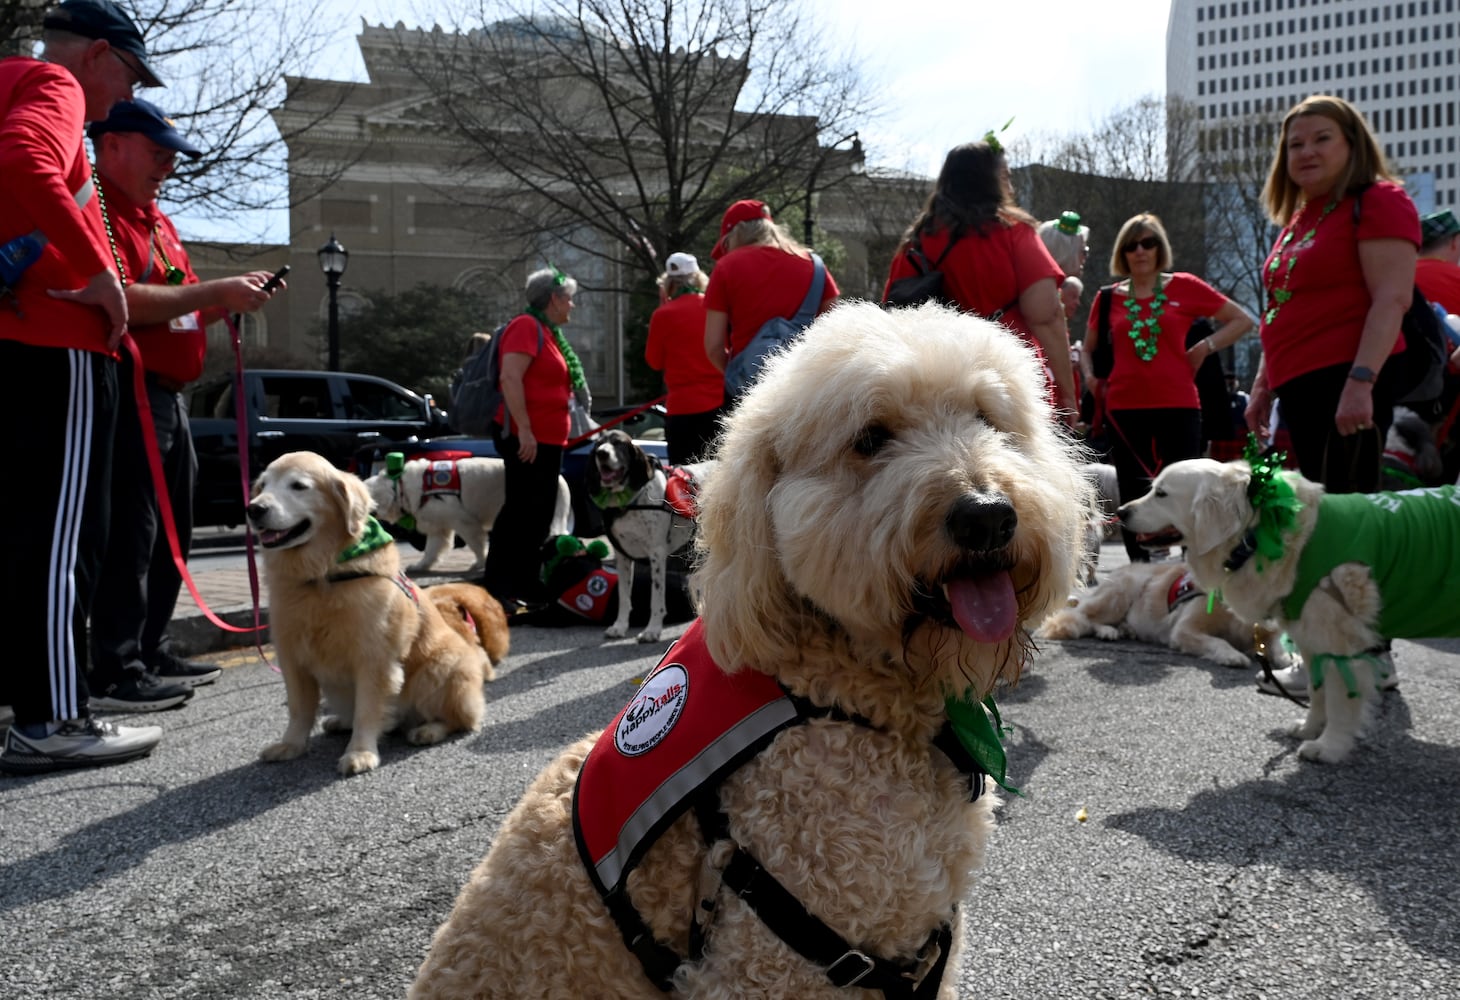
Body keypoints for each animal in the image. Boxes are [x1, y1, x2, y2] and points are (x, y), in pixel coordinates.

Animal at [362, 455, 572, 572]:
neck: (402, 487)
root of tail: (561, 479)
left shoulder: (461, 517)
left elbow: (474, 540)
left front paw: (480, 562)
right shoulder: (438, 520)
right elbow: (434, 545)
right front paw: (420, 565)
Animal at [586, 429, 712, 639]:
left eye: (618, 443)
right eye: (598, 445)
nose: (602, 453)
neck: (631, 502)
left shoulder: (656, 555)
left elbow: (656, 598)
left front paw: (652, 630)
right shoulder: (622, 557)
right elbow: (623, 596)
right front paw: (620, 626)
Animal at [1039, 557, 1290, 665]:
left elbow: (1277, 647)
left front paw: (1288, 659)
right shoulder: (1184, 630)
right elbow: (1218, 641)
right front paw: (1232, 655)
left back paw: (1124, 630)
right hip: (1122, 591)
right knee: (1082, 615)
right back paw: (1107, 631)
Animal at [1121, 455, 1454, 759]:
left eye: (1161, 493)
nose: (1121, 511)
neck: (1257, 534)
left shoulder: (1341, 644)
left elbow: (1340, 701)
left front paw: (1329, 746)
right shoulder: (1311, 641)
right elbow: (1317, 693)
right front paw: (1309, 728)